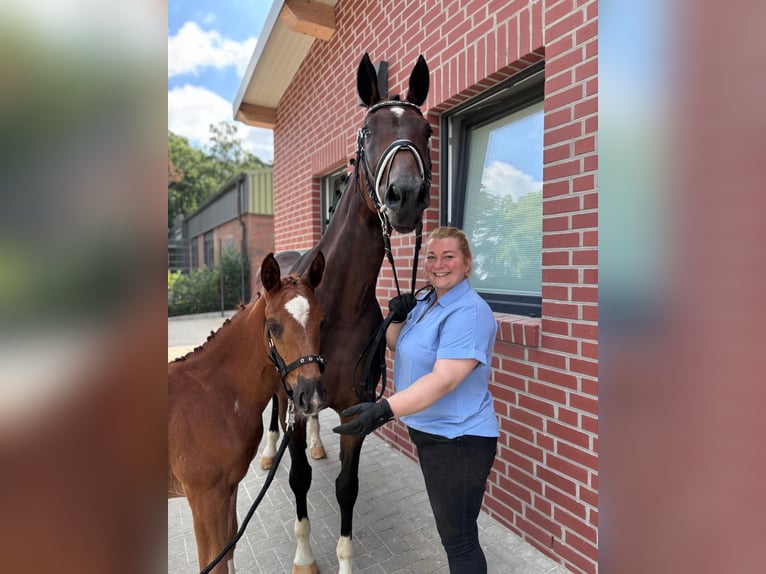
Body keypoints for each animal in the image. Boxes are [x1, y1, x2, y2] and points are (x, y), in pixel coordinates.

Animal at [170, 253, 326, 574]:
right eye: (274, 326)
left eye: (321, 320)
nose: (312, 396)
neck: (214, 394)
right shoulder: (204, 498)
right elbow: (214, 561)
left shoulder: (228, 489)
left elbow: (228, 550)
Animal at [266, 51, 432, 572]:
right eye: (367, 130)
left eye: (426, 132)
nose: (406, 194)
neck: (334, 302)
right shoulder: (296, 399)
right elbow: (298, 478)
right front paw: (304, 554)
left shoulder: (355, 410)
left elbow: (346, 487)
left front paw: (344, 559)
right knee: (273, 416)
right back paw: (268, 452)